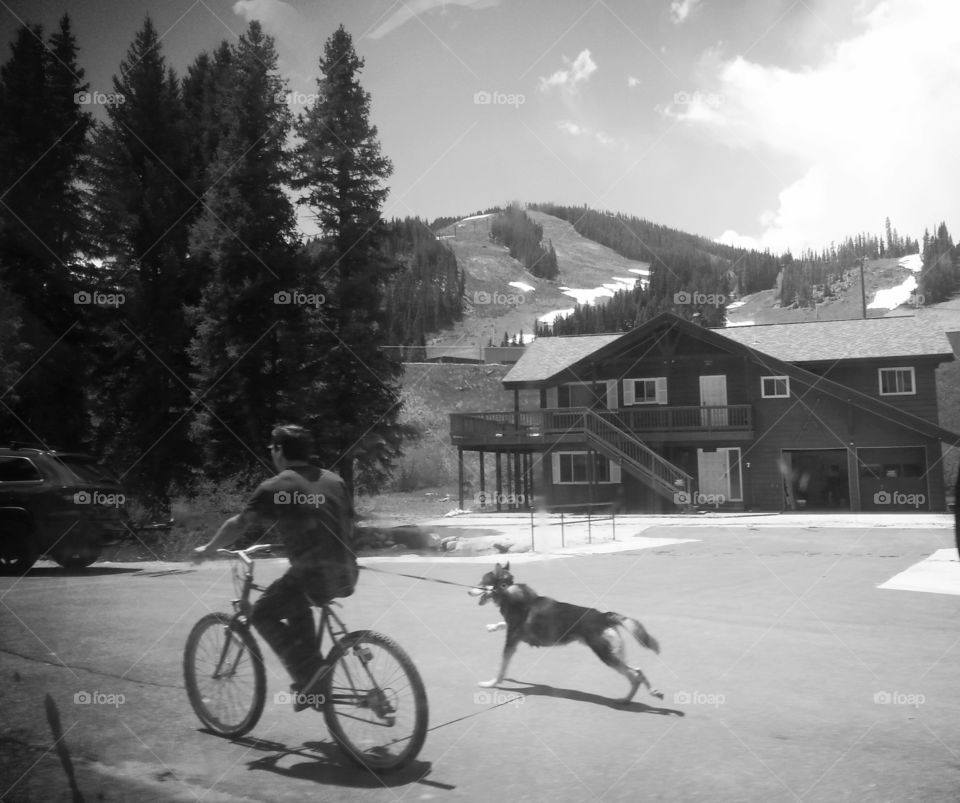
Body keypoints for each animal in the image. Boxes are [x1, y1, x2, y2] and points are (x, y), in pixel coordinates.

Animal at [468, 564, 664, 704]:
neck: (508, 592)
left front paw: (492, 683)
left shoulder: (511, 642)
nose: (468, 590)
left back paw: (641, 695)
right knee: (637, 671)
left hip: (606, 655)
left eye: (481, 582)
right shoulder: (513, 632)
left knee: (635, 675)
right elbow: (502, 625)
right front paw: (492, 627)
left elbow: (501, 669)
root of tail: (603, 616)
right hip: (614, 653)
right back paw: (630, 698)